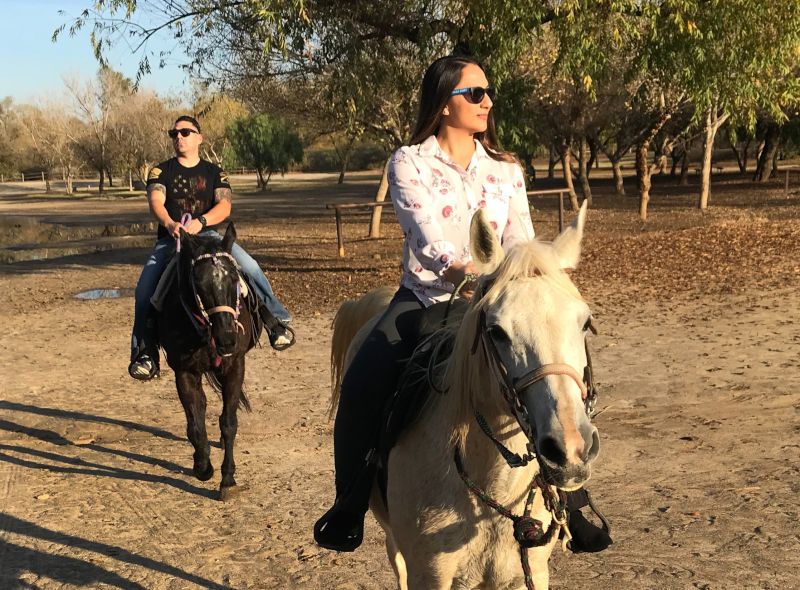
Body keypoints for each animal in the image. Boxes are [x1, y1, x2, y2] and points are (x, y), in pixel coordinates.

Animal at [160, 224, 262, 502]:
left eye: (235, 279)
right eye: (199, 284)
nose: (227, 339)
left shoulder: (235, 365)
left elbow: (229, 422)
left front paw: (228, 480)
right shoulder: (184, 372)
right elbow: (195, 424)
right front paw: (203, 467)